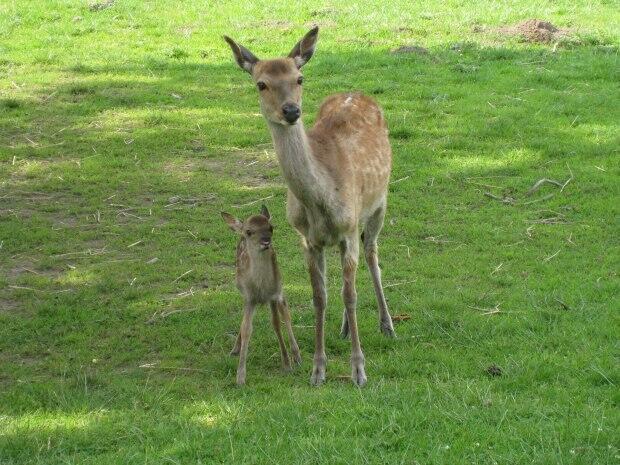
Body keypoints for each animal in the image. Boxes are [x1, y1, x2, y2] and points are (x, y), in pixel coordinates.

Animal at [225, 27, 394, 386]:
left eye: (299, 78)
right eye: (261, 83)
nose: (291, 111)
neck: (320, 200)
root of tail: (356, 92)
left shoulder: (348, 229)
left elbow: (349, 295)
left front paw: (359, 370)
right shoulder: (307, 239)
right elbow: (320, 297)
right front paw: (318, 369)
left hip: (379, 204)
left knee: (371, 253)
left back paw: (387, 324)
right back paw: (344, 329)